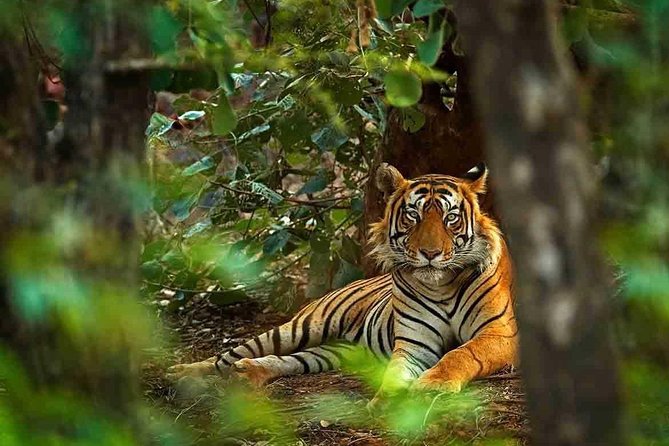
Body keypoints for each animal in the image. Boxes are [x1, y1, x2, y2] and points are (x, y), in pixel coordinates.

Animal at [167, 163, 518, 405]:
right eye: (413, 216)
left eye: (450, 218)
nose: (429, 254)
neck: (442, 284)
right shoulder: (414, 343)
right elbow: (395, 371)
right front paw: (387, 401)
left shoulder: (499, 333)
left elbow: (462, 353)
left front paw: (433, 385)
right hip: (300, 327)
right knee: (227, 356)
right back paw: (182, 373)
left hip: (335, 351)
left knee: (288, 360)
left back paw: (248, 372)